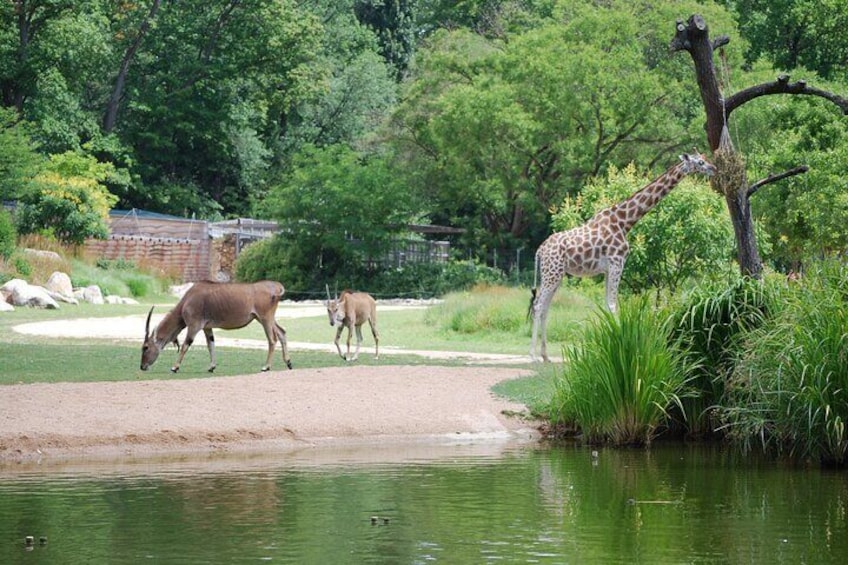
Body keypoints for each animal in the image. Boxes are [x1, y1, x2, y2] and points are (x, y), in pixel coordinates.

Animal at [141, 280, 294, 372]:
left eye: (146, 347)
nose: (142, 366)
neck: (187, 300)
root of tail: (277, 287)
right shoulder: (207, 328)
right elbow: (211, 345)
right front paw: (212, 367)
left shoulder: (194, 326)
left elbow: (185, 345)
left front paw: (175, 367)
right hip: (267, 319)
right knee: (282, 332)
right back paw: (288, 362)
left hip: (265, 319)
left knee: (272, 339)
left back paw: (266, 367)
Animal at [528, 151, 716, 362]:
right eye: (700, 162)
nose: (714, 169)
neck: (625, 222)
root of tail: (540, 250)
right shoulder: (617, 262)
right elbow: (612, 305)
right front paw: (621, 347)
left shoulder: (608, 268)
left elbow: (607, 305)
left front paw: (606, 348)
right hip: (552, 273)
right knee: (538, 305)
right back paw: (533, 355)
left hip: (555, 274)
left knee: (545, 307)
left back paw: (545, 356)